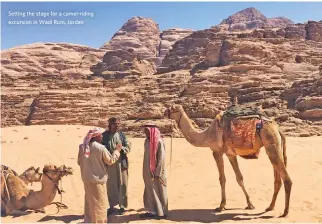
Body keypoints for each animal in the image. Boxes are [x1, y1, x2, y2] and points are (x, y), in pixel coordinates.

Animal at [165, 104, 294, 217]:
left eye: (172, 108)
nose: (165, 112)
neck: (207, 135)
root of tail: (278, 129)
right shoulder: (230, 154)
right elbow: (239, 178)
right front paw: (250, 204)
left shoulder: (217, 152)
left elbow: (222, 179)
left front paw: (221, 206)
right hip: (272, 147)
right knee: (277, 180)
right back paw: (270, 207)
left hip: (272, 144)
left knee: (287, 179)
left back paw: (285, 212)